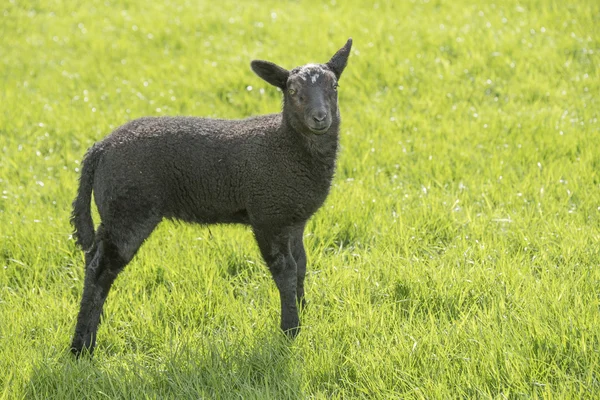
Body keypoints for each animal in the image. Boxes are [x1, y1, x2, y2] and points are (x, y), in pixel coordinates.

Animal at [70, 38, 352, 356]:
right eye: (292, 92)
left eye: (334, 86)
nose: (320, 118)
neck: (286, 147)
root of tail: (99, 148)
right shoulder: (267, 216)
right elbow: (286, 270)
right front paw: (290, 329)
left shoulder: (294, 219)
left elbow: (302, 264)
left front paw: (303, 312)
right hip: (128, 211)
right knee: (100, 269)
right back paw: (81, 347)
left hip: (116, 212)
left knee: (92, 260)